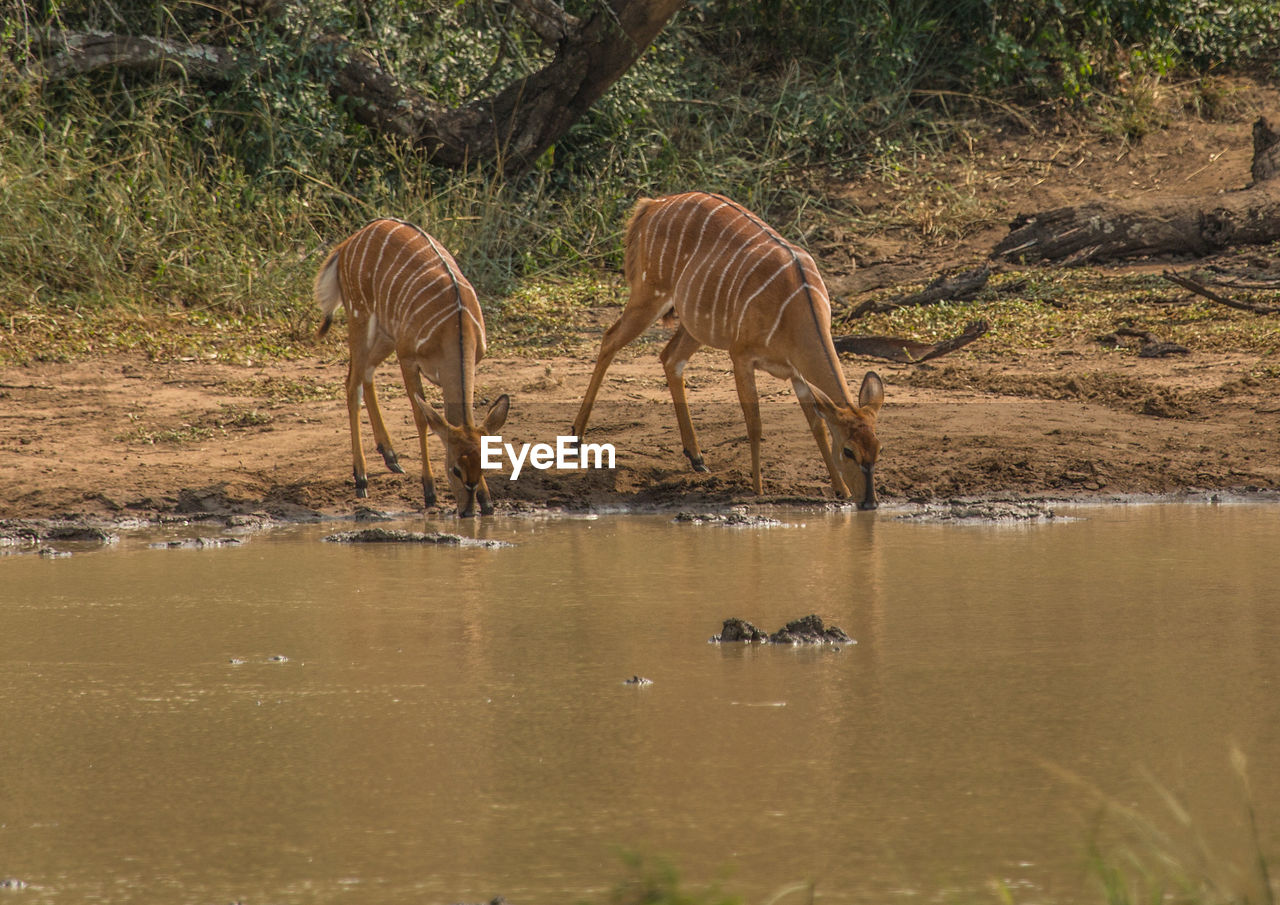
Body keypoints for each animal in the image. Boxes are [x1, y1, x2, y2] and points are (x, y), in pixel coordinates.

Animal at [314, 217, 509, 517]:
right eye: (455, 469)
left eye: (485, 465)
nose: (467, 511)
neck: (454, 328)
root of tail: (346, 245)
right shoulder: (408, 358)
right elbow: (422, 418)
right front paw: (429, 492)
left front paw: (487, 501)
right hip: (360, 318)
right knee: (352, 383)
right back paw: (361, 478)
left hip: (385, 335)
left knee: (366, 374)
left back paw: (390, 456)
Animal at [576, 190, 885, 509]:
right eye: (848, 450)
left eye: (879, 448)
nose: (870, 503)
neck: (795, 307)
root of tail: (652, 205)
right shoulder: (741, 356)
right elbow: (755, 423)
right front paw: (758, 488)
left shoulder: (797, 374)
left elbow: (817, 425)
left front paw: (841, 490)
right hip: (649, 294)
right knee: (610, 339)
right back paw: (576, 438)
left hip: (695, 323)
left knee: (670, 358)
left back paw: (697, 458)